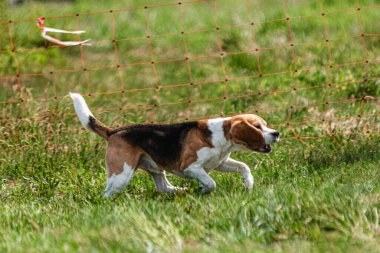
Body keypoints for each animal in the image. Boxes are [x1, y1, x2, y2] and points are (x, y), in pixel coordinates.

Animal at [70, 92, 280, 196]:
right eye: (257, 127)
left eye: (265, 125)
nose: (276, 133)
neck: (220, 134)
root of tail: (113, 132)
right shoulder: (191, 167)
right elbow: (210, 182)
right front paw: (203, 190)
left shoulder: (220, 163)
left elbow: (244, 167)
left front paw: (249, 184)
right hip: (121, 174)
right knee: (108, 193)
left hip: (153, 168)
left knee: (163, 187)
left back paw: (180, 191)